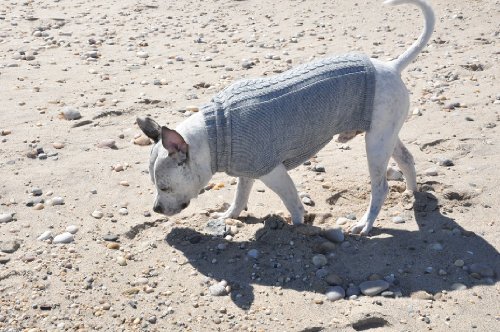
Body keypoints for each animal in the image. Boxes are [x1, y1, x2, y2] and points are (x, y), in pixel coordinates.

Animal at [136, 0, 434, 235]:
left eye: (165, 188)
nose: (156, 209)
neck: (215, 132)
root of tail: (391, 67)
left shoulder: (272, 172)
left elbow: (293, 203)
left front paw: (298, 227)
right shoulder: (247, 169)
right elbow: (239, 195)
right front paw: (230, 216)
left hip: (376, 144)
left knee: (381, 186)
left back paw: (366, 223)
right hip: (385, 134)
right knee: (406, 159)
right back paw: (413, 192)